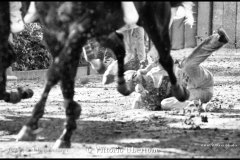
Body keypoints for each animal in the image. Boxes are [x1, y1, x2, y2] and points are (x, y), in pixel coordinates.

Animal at [16, 1, 193, 149]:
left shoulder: (80, 28)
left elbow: (56, 74)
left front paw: (34, 127)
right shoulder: (54, 33)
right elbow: (63, 78)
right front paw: (63, 126)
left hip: (153, 22)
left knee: (163, 58)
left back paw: (179, 91)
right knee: (121, 47)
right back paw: (118, 81)